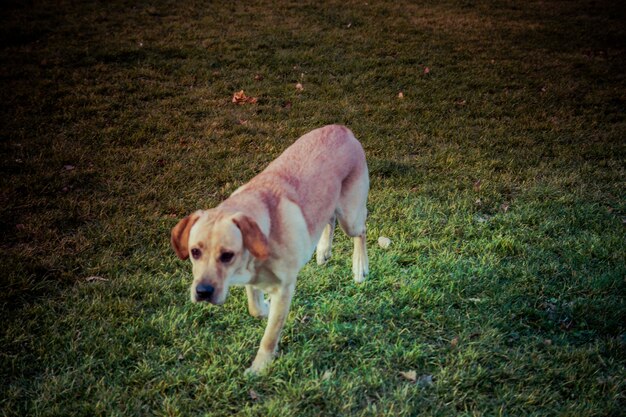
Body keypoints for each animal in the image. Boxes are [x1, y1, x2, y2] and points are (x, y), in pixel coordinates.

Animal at [168, 124, 368, 374]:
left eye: (227, 256)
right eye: (195, 252)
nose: (203, 292)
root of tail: (342, 128)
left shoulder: (284, 288)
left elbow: (270, 336)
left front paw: (259, 368)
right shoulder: (251, 277)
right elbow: (255, 307)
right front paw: (265, 306)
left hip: (351, 217)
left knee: (361, 231)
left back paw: (359, 267)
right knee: (328, 218)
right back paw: (323, 250)